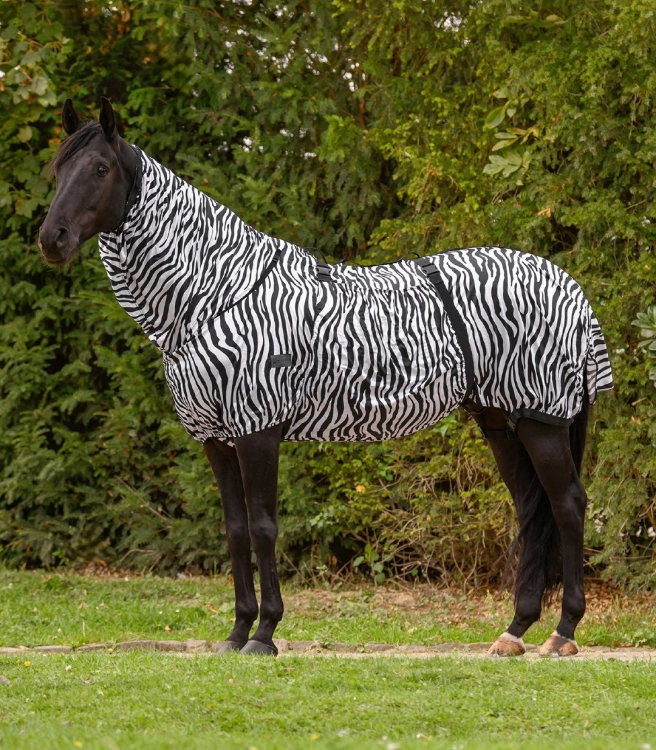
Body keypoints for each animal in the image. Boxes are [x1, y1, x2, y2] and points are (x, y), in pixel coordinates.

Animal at [39, 98, 612, 658]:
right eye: (58, 168)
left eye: (100, 168)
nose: (52, 240)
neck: (215, 293)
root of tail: (569, 286)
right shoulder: (215, 438)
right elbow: (235, 531)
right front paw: (236, 632)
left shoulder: (258, 429)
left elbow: (264, 527)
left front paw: (264, 634)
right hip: (500, 421)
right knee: (532, 510)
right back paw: (515, 632)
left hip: (541, 420)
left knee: (567, 505)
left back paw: (563, 633)